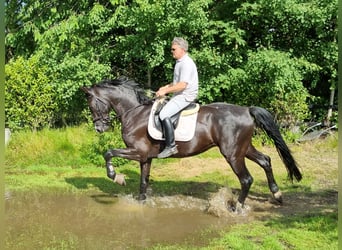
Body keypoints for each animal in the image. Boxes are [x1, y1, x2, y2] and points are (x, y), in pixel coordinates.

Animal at [82, 76, 302, 211]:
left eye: (92, 104)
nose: (99, 128)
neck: (134, 112)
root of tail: (247, 110)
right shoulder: (146, 157)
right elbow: (143, 182)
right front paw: (141, 202)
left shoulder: (137, 151)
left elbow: (108, 153)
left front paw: (117, 177)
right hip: (243, 148)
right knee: (265, 160)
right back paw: (277, 194)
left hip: (232, 154)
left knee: (246, 179)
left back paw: (237, 208)